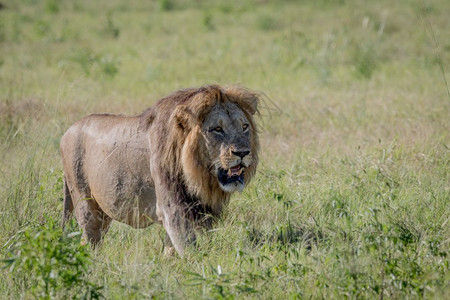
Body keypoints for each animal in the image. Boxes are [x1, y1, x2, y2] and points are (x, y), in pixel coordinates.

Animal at [59, 84, 260, 255]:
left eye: (244, 127)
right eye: (217, 129)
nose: (243, 152)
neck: (199, 176)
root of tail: (68, 130)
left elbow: (172, 248)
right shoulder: (172, 209)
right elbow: (190, 250)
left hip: (104, 210)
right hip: (85, 203)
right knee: (88, 240)